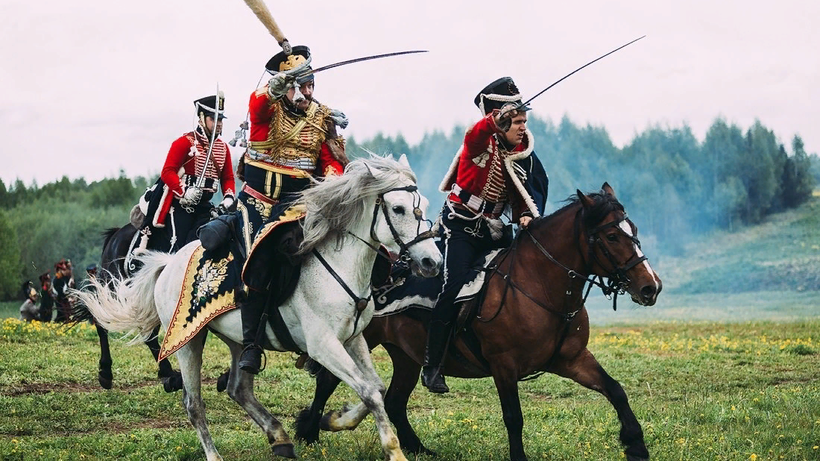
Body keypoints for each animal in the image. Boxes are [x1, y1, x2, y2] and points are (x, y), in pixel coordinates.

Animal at [294, 183, 660, 460]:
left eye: (633, 231)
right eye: (612, 236)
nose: (650, 287)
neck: (536, 284)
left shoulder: (571, 359)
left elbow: (615, 390)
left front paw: (636, 445)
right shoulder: (503, 365)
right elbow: (513, 417)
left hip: (407, 356)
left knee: (395, 401)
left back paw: (418, 448)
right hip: (356, 340)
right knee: (328, 382)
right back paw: (309, 431)